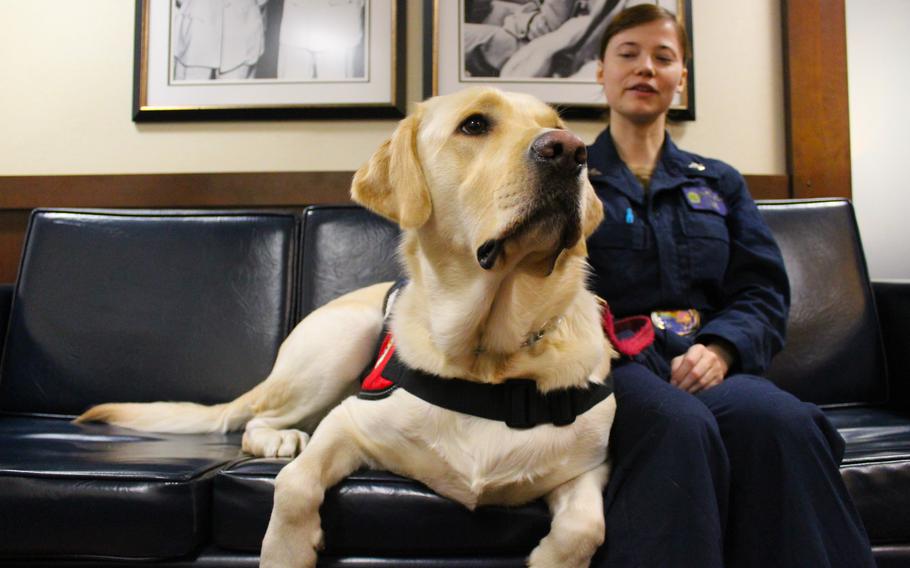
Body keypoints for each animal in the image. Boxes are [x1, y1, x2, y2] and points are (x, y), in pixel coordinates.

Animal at [78, 87, 620, 568]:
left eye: (559, 124)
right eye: (474, 124)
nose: (569, 149)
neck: (487, 355)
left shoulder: (589, 468)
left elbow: (586, 526)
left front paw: (549, 557)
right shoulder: (349, 423)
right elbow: (295, 483)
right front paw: (289, 549)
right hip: (337, 348)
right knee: (258, 421)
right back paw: (279, 439)